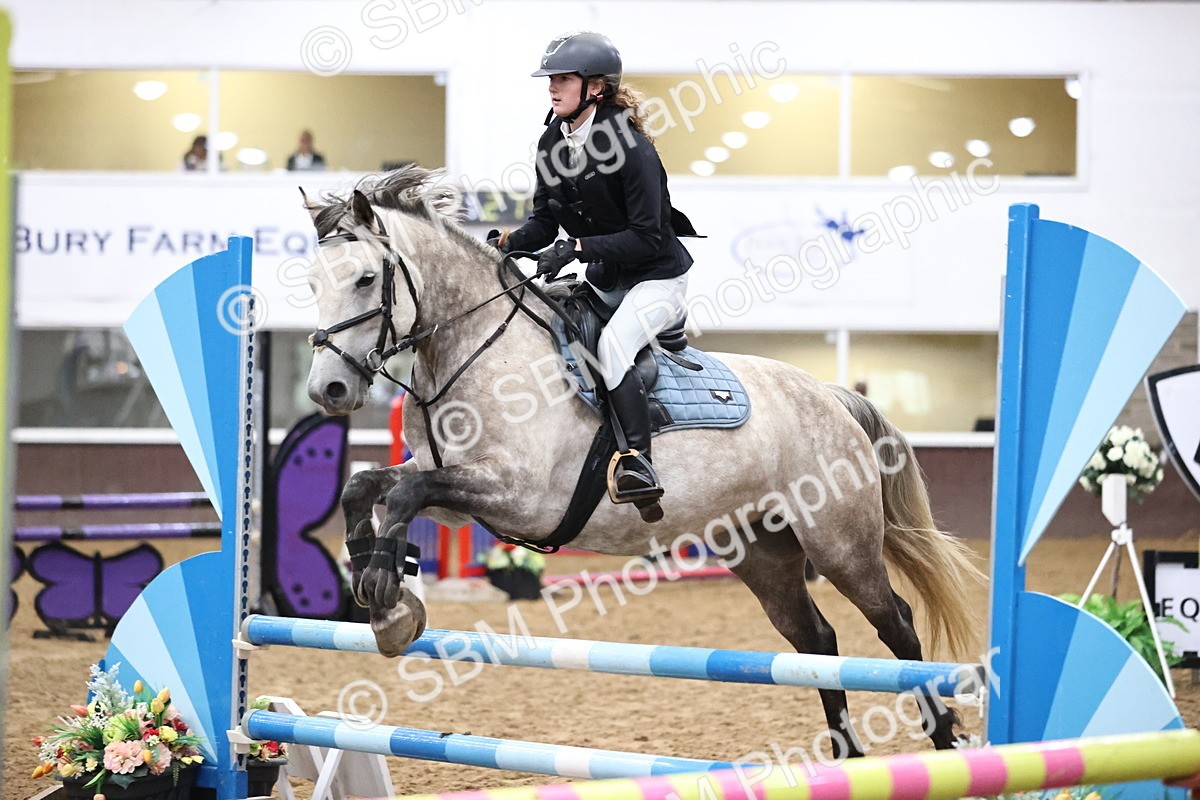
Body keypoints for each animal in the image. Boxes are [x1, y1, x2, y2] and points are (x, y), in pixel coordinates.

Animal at [300, 167, 985, 759]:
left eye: (365, 279)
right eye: (311, 283)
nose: (328, 389)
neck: (480, 349)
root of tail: (831, 397)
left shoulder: (519, 497)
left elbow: (405, 496)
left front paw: (387, 596)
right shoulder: (455, 499)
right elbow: (368, 485)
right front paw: (375, 587)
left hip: (840, 543)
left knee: (895, 625)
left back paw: (945, 738)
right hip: (762, 553)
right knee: (816, 641)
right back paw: (845, 757)